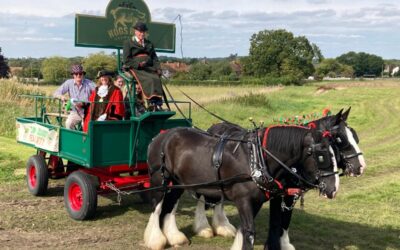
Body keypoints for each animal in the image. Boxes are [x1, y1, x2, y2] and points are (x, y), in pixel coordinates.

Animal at [143, 125, 338, 250]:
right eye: (322, 156)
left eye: (336, 152)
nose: (333, 189)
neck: (257, 158)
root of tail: (161, 136)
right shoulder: (243, 200)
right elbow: (249, 233)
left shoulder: (257, 200)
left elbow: (247, 230)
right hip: (159, 180)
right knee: (157, 207)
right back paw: (155, 240)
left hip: (178, 183)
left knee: (169, 207)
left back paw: (174, 237)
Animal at [194, 106, 366, 249]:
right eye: (340, 139)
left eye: (354, 135)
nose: (360, 167)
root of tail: (215, 126)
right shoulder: (277, 196)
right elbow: (275, 222)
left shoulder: (286, 194)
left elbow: (282, 222)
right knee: (202, 195)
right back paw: (204, 228)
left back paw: (221, 226)